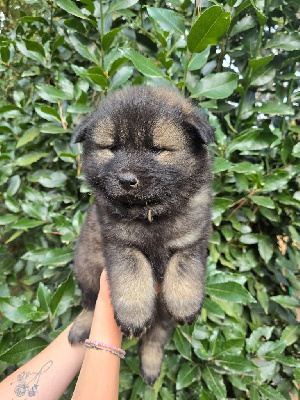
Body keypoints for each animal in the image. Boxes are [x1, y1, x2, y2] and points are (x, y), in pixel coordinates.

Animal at [68, 86, 213, 384]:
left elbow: (185, 269)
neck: (149, 214)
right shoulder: (121, 244)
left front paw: (186, 305)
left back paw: (150, 367)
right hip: (86, 269)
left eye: (157, 149)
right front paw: (133, 316)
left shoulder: (191, 240)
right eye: (112, 148)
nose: (126, 180)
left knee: (155, 338)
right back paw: (81, 327)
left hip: (161, 315)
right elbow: (132, 276)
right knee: (89, 303)